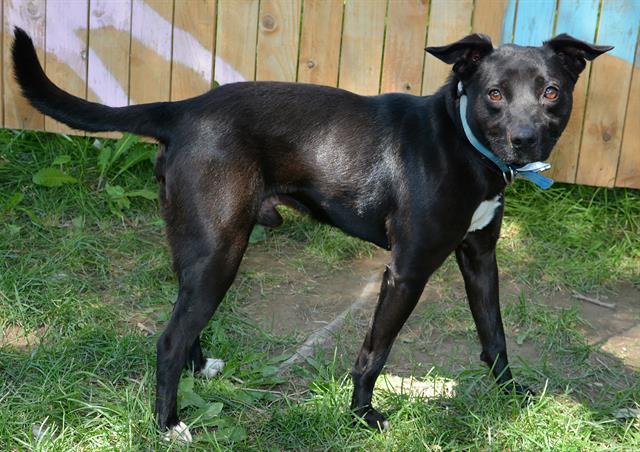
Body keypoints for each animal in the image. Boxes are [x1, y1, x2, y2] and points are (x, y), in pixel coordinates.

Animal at [11, 29, 608, 442]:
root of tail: (182, 110)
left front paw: (509, 393)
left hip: (198, 247)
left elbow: (495, 333)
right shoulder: (406, 271)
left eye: (551, 92)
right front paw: (362, 414)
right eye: (495, 95)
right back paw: (168, 424)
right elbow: (375, 352)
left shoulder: (480, 257)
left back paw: (200, 369)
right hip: (222, 250)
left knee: (183, 319)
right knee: (167, 338)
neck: (461, 142)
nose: (525, 140)